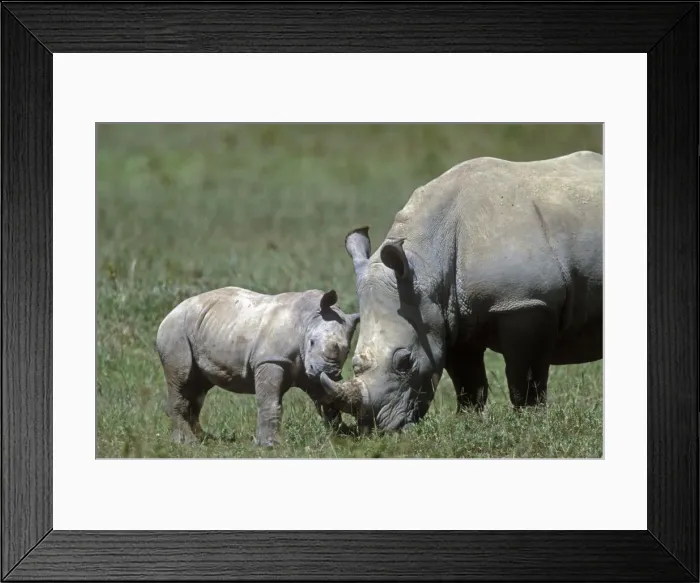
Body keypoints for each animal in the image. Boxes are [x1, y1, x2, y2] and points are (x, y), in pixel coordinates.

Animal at [155, 286, 359, 445]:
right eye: (312, 342)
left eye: (348, 351)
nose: (330, 372)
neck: (309, 317)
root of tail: (171, 312)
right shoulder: (271, 359)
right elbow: (269, 401)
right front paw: (270, 445)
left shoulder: (309, 369)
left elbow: (327, 400)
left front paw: (342, 436)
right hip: (176, 331)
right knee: (182, 379)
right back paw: (187, 443)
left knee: (197, 388)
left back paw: (204, 438)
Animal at [320, 151, 603, 432]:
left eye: (404, 362)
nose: (377, 430)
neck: (426, 267)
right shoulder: (449, 313)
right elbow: (467, 378)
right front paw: (467, 420)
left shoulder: (525, 301)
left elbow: (525, 376)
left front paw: (529, 421)